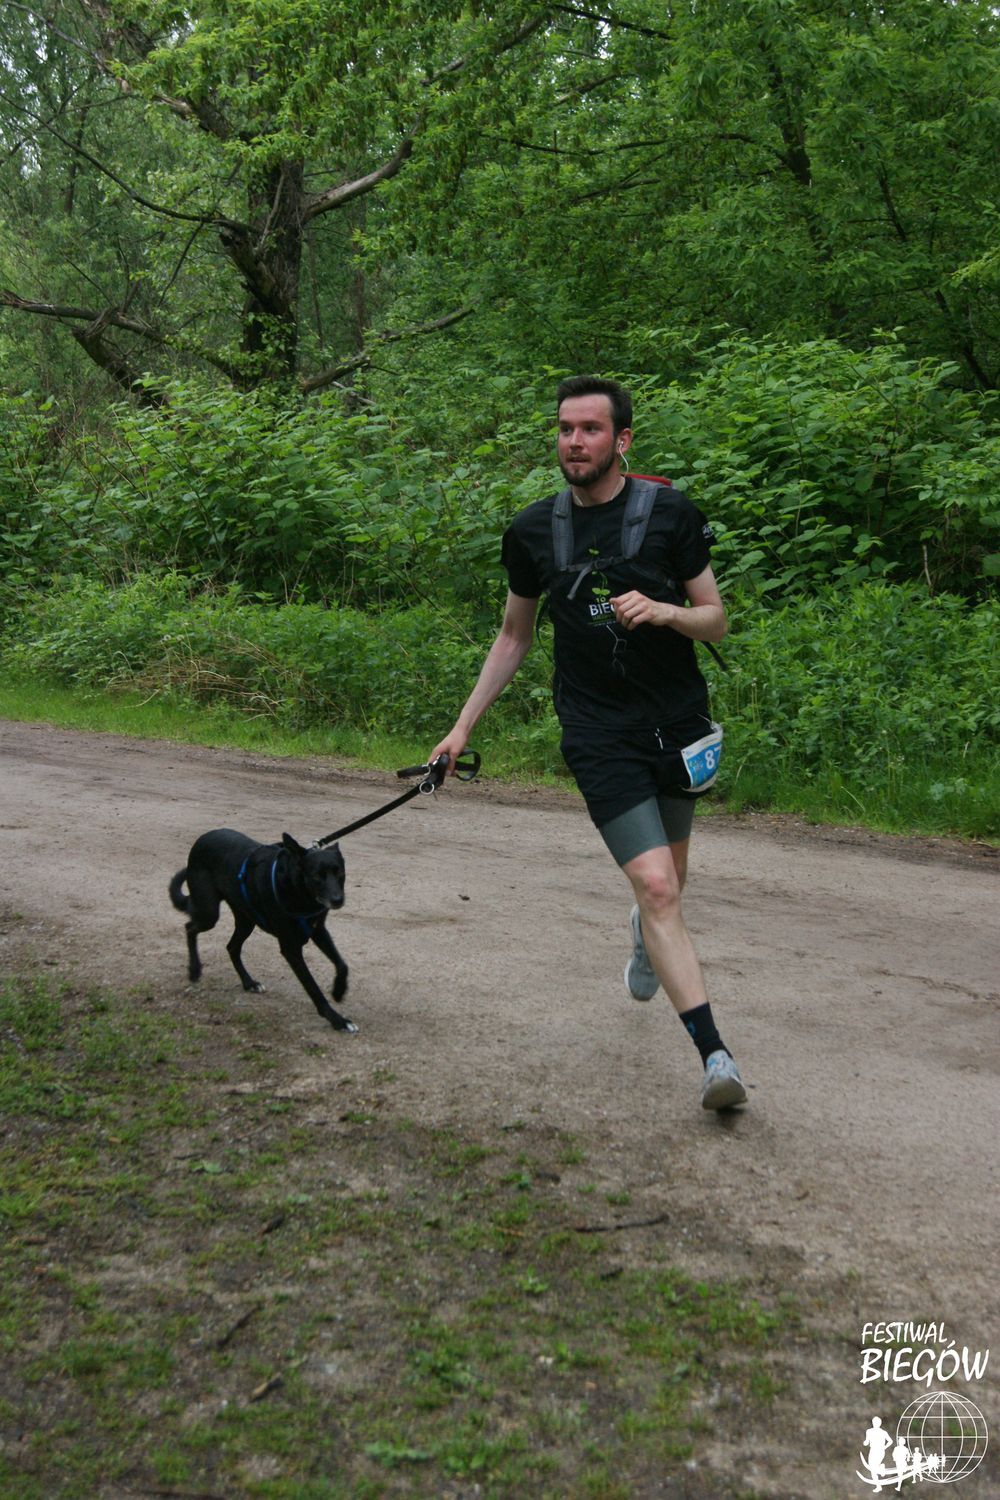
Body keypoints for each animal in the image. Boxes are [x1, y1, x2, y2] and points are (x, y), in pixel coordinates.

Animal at [169, 829, 355, 1032]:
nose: (337, 900)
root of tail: (204, 837)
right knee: (190, 928)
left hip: (246, 920)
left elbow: (342, 965)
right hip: (209, 913)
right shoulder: (291, 949)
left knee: (232, 947)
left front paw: (338, 991)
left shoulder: (318, 931)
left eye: (340, 873)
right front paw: (337, 1020)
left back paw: (249, 983)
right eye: (317, 876)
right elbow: (313, 988)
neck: (297, 890)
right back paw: (194, 970)